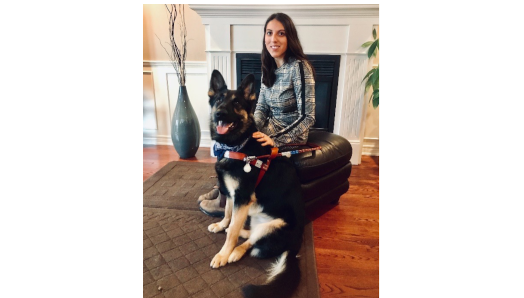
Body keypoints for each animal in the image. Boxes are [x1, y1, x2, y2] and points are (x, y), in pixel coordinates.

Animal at [208, 70, 308, 298]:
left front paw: (223, 254)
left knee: (252, 244)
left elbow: (233, 231)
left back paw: (235, 252)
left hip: (275, 225)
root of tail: (295, 247)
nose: (219, 114)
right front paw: (221, 225)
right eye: (218, 100)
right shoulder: (232, 194)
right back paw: (238, 231)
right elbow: (228, 214)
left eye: (236, 103)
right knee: (249, 232)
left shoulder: (242, 197)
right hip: (254, 216)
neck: (237, 146)